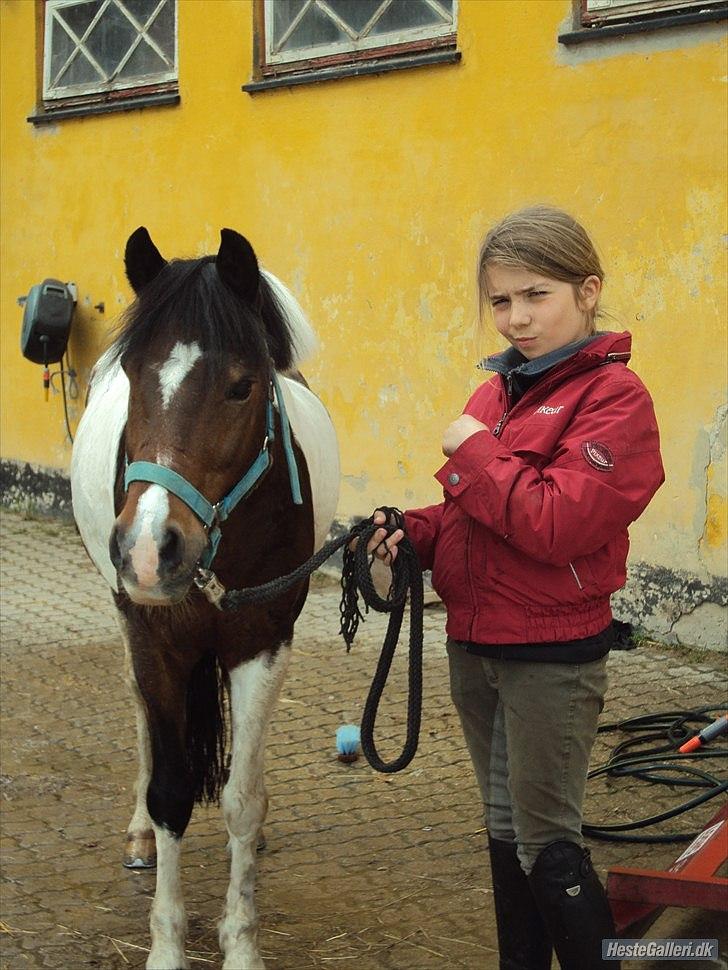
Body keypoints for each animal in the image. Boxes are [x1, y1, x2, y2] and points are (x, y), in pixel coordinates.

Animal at [69, 223, 340, 964]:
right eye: (135, 376)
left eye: (243, 387)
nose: (148, 549)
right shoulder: (154, 639)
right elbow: (170, 792)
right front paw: (166, 946)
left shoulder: (263, 638)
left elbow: (243, 799)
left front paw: (241, 945)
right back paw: (138, 834)